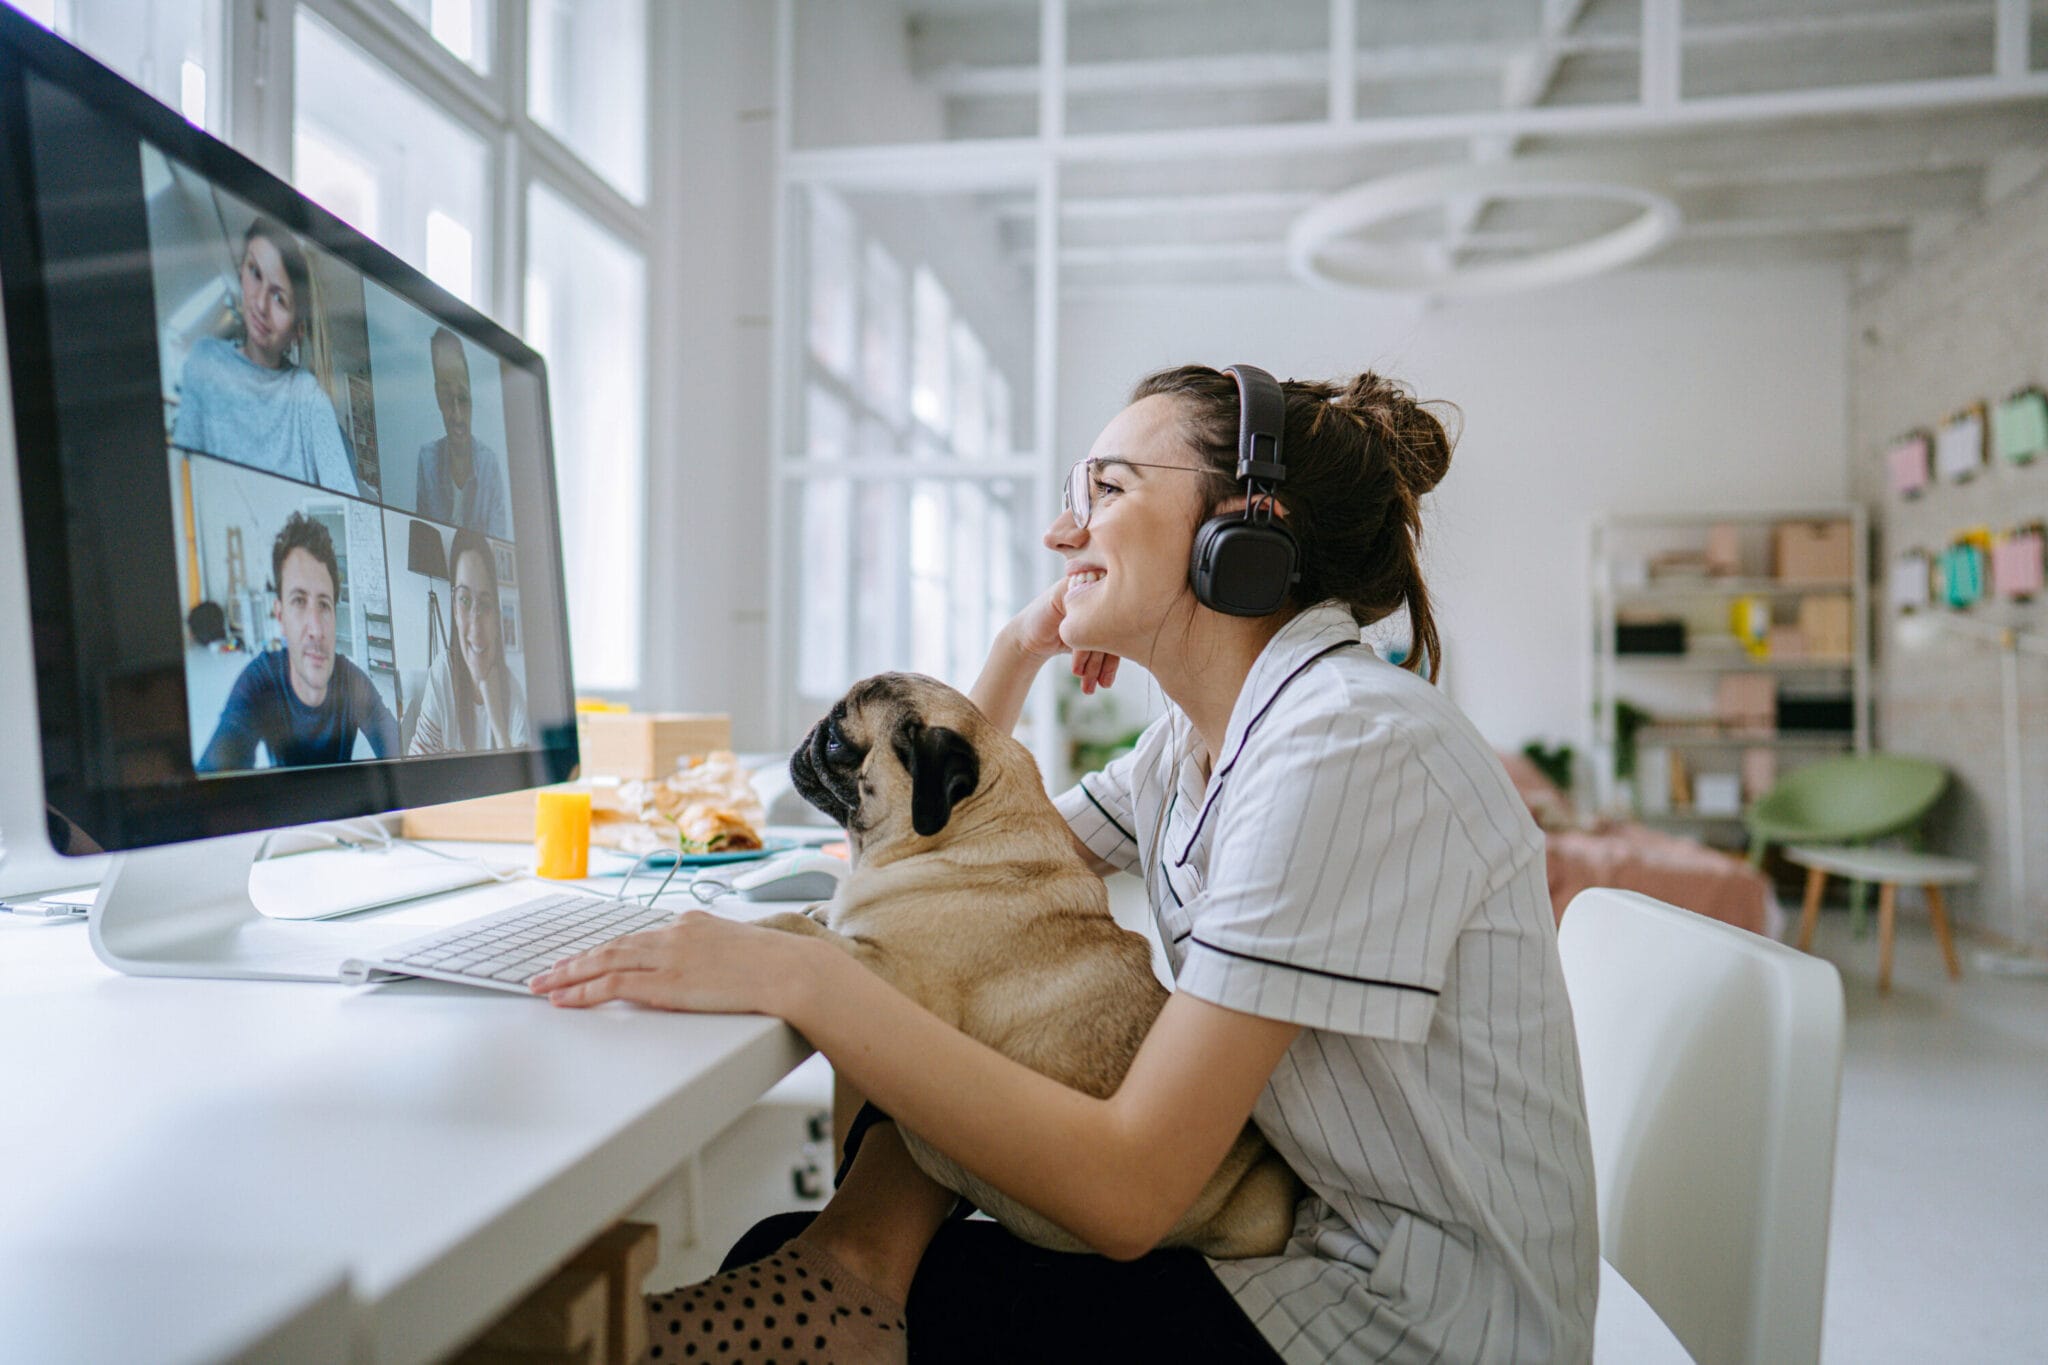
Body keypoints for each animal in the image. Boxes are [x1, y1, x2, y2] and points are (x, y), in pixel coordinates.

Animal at [761, 671, 1302, 1260]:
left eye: (839, 740)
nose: (811, 735)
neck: (961, 834)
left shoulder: (890, 985)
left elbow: (811, 940)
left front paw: (761, 929)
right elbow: (824, 919)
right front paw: (815, 909)